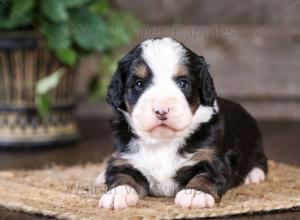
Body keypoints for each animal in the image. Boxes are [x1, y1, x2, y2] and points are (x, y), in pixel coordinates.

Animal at [98, 37, 268, 210]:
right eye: (139, 84)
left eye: (182, 83)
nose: (161, 110)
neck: (162, 142)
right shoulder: (124, 157)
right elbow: (122, 175)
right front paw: (117, 193)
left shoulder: (212, 157)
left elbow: (206, 175)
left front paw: (196, 193)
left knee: (261, 160)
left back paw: (253, 174)